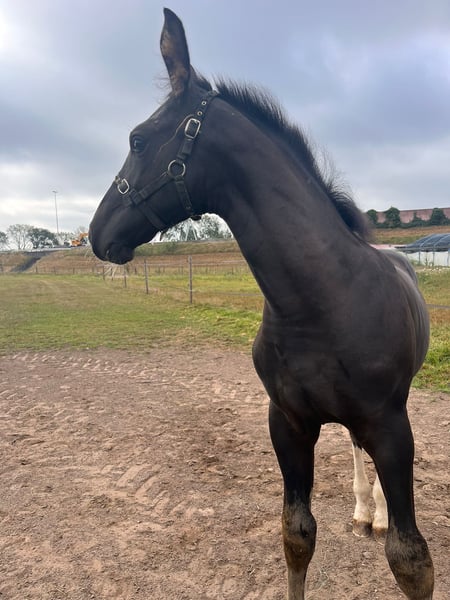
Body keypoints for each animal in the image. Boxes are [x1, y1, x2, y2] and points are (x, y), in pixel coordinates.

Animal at [89, 9, 433, 599]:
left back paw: (379, 513)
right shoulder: (288, 423)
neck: (322, 302)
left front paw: (392, 524)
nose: (96, 233)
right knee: (354, 449)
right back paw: (365, 512)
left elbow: (411, 560)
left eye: (137, 139)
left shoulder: (391, 427)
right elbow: (297, 535)